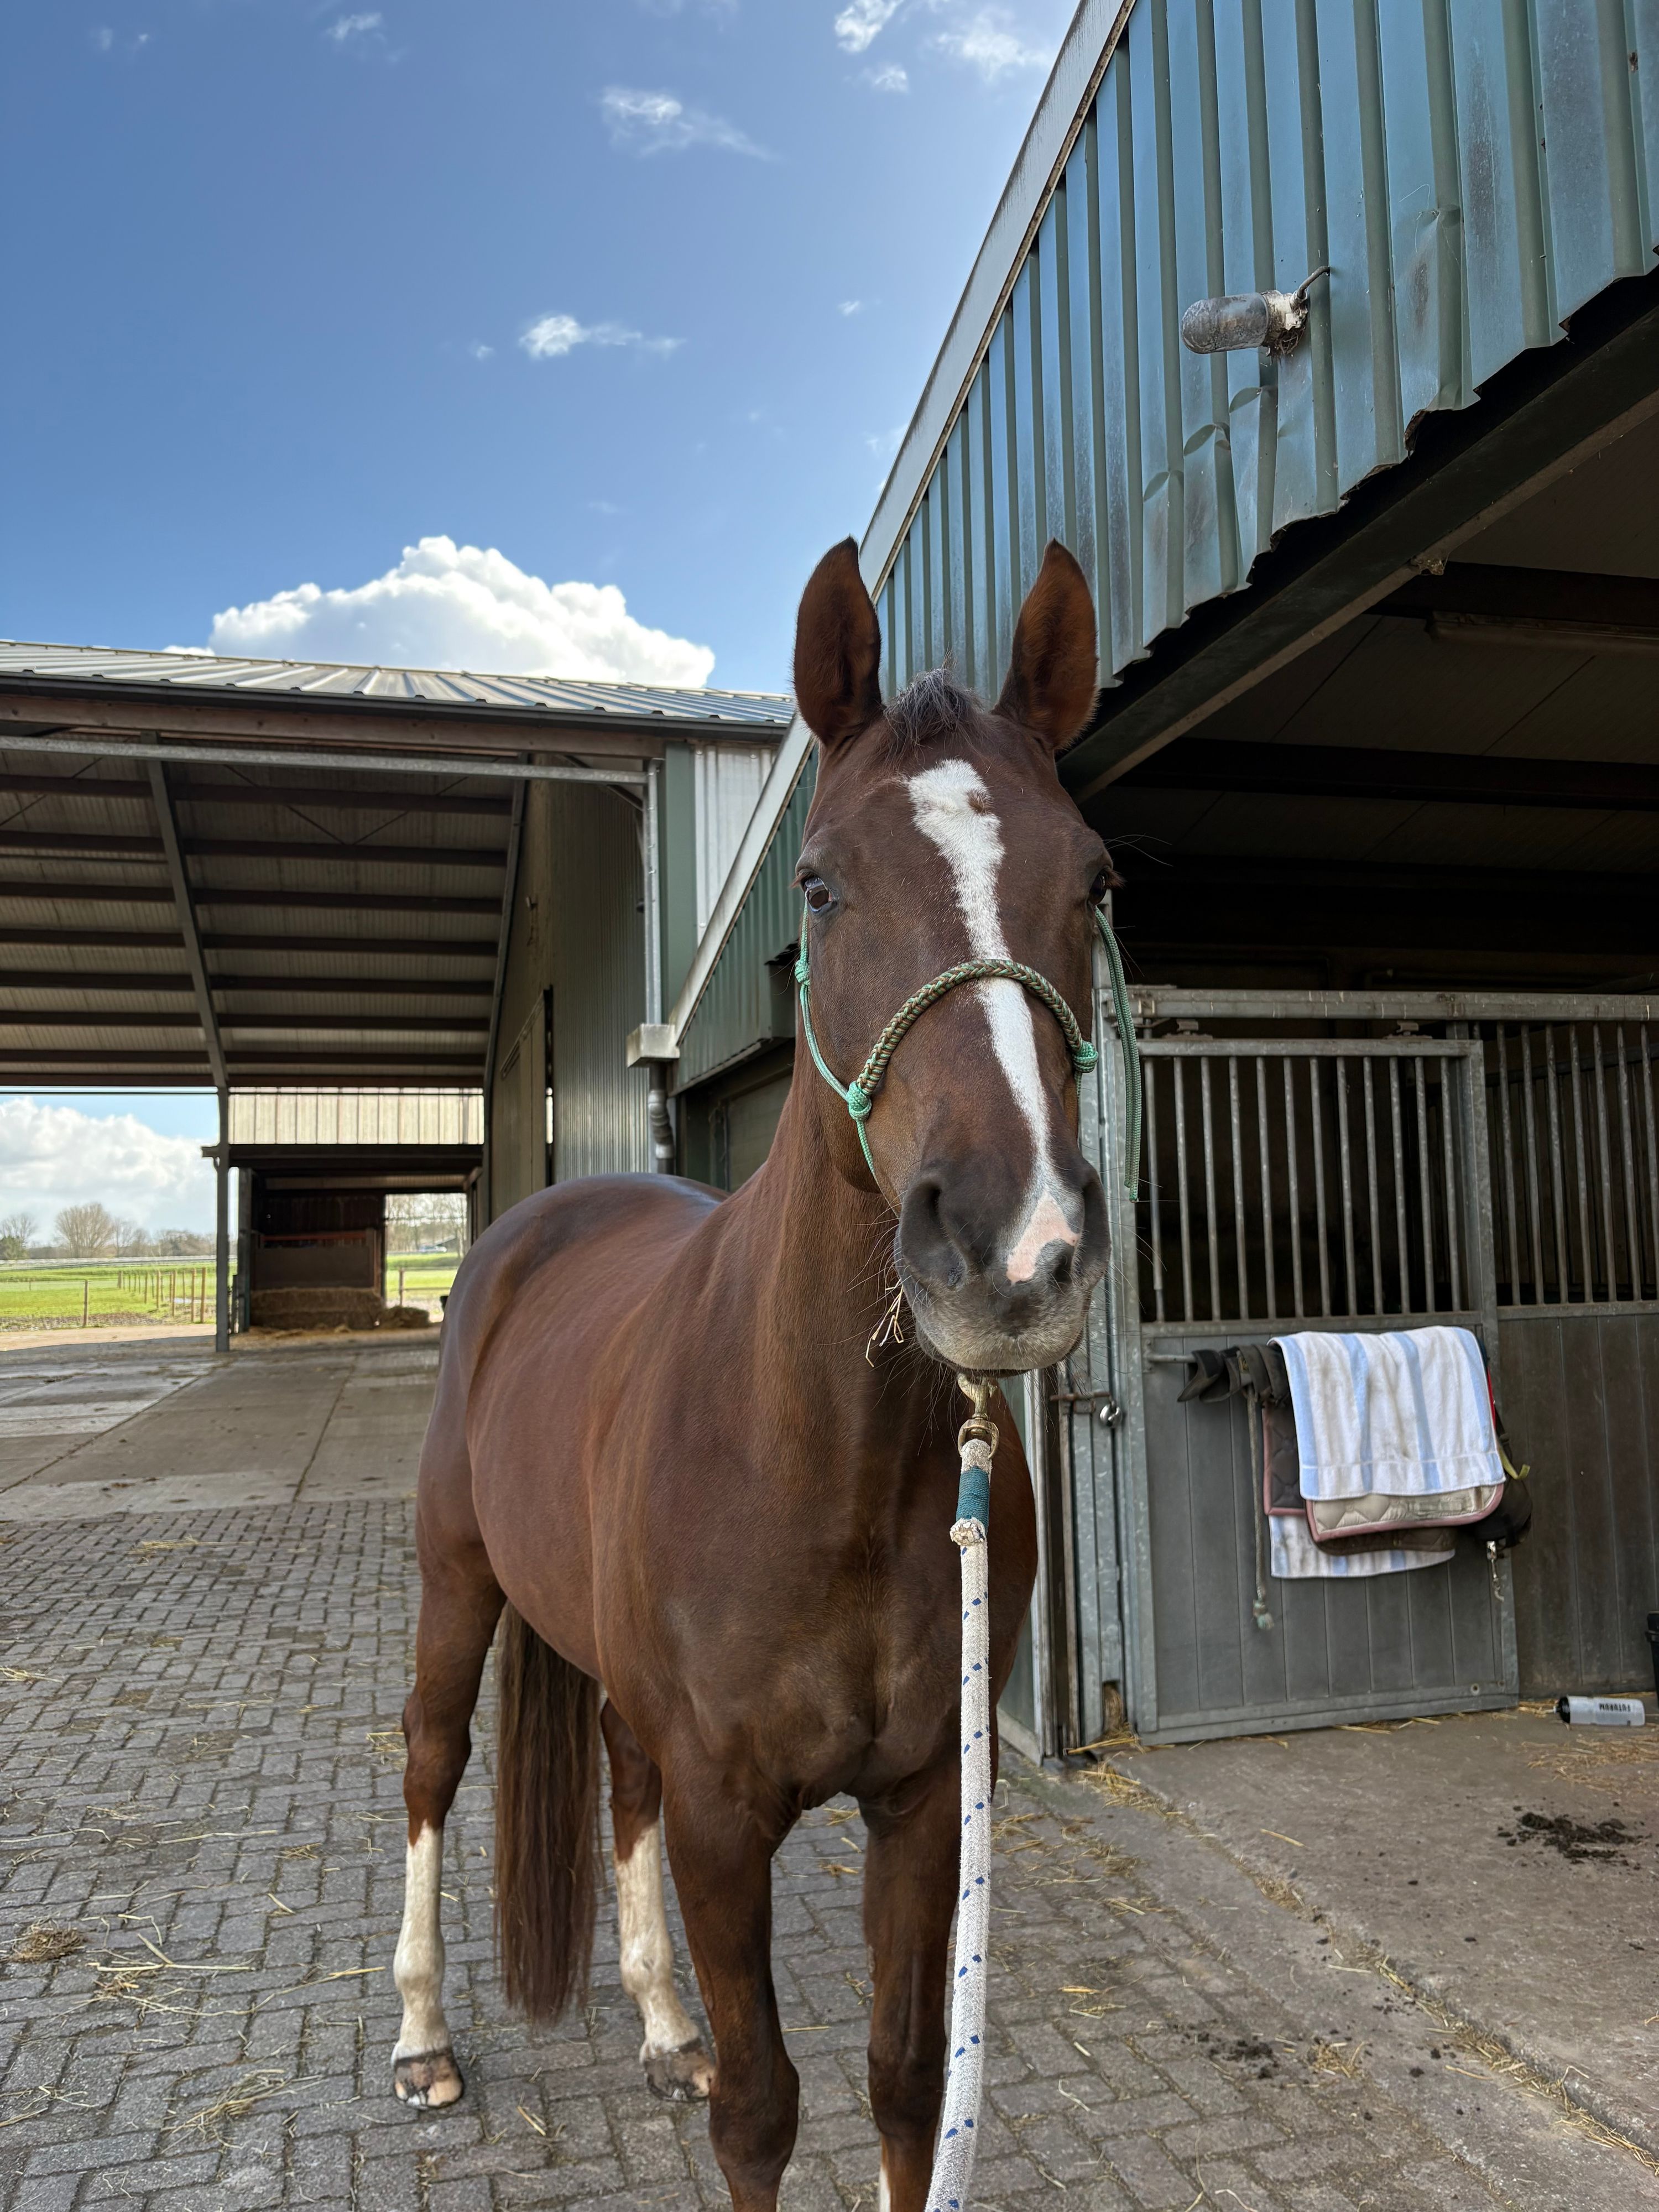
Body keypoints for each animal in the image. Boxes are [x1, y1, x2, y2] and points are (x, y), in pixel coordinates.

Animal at [391, 536, 1115, 2212]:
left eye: (1095, 881)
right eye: (820, 884)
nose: (1015, 1251)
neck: (818, 1458)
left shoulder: (928, 1807)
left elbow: (907, 2083)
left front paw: (703, 2035)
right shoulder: (729, 1820)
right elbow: (763, 2110)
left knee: (614, 1765)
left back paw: (661, 2022)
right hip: (458, 1579)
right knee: (431, 1761)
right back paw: (423, 2040)